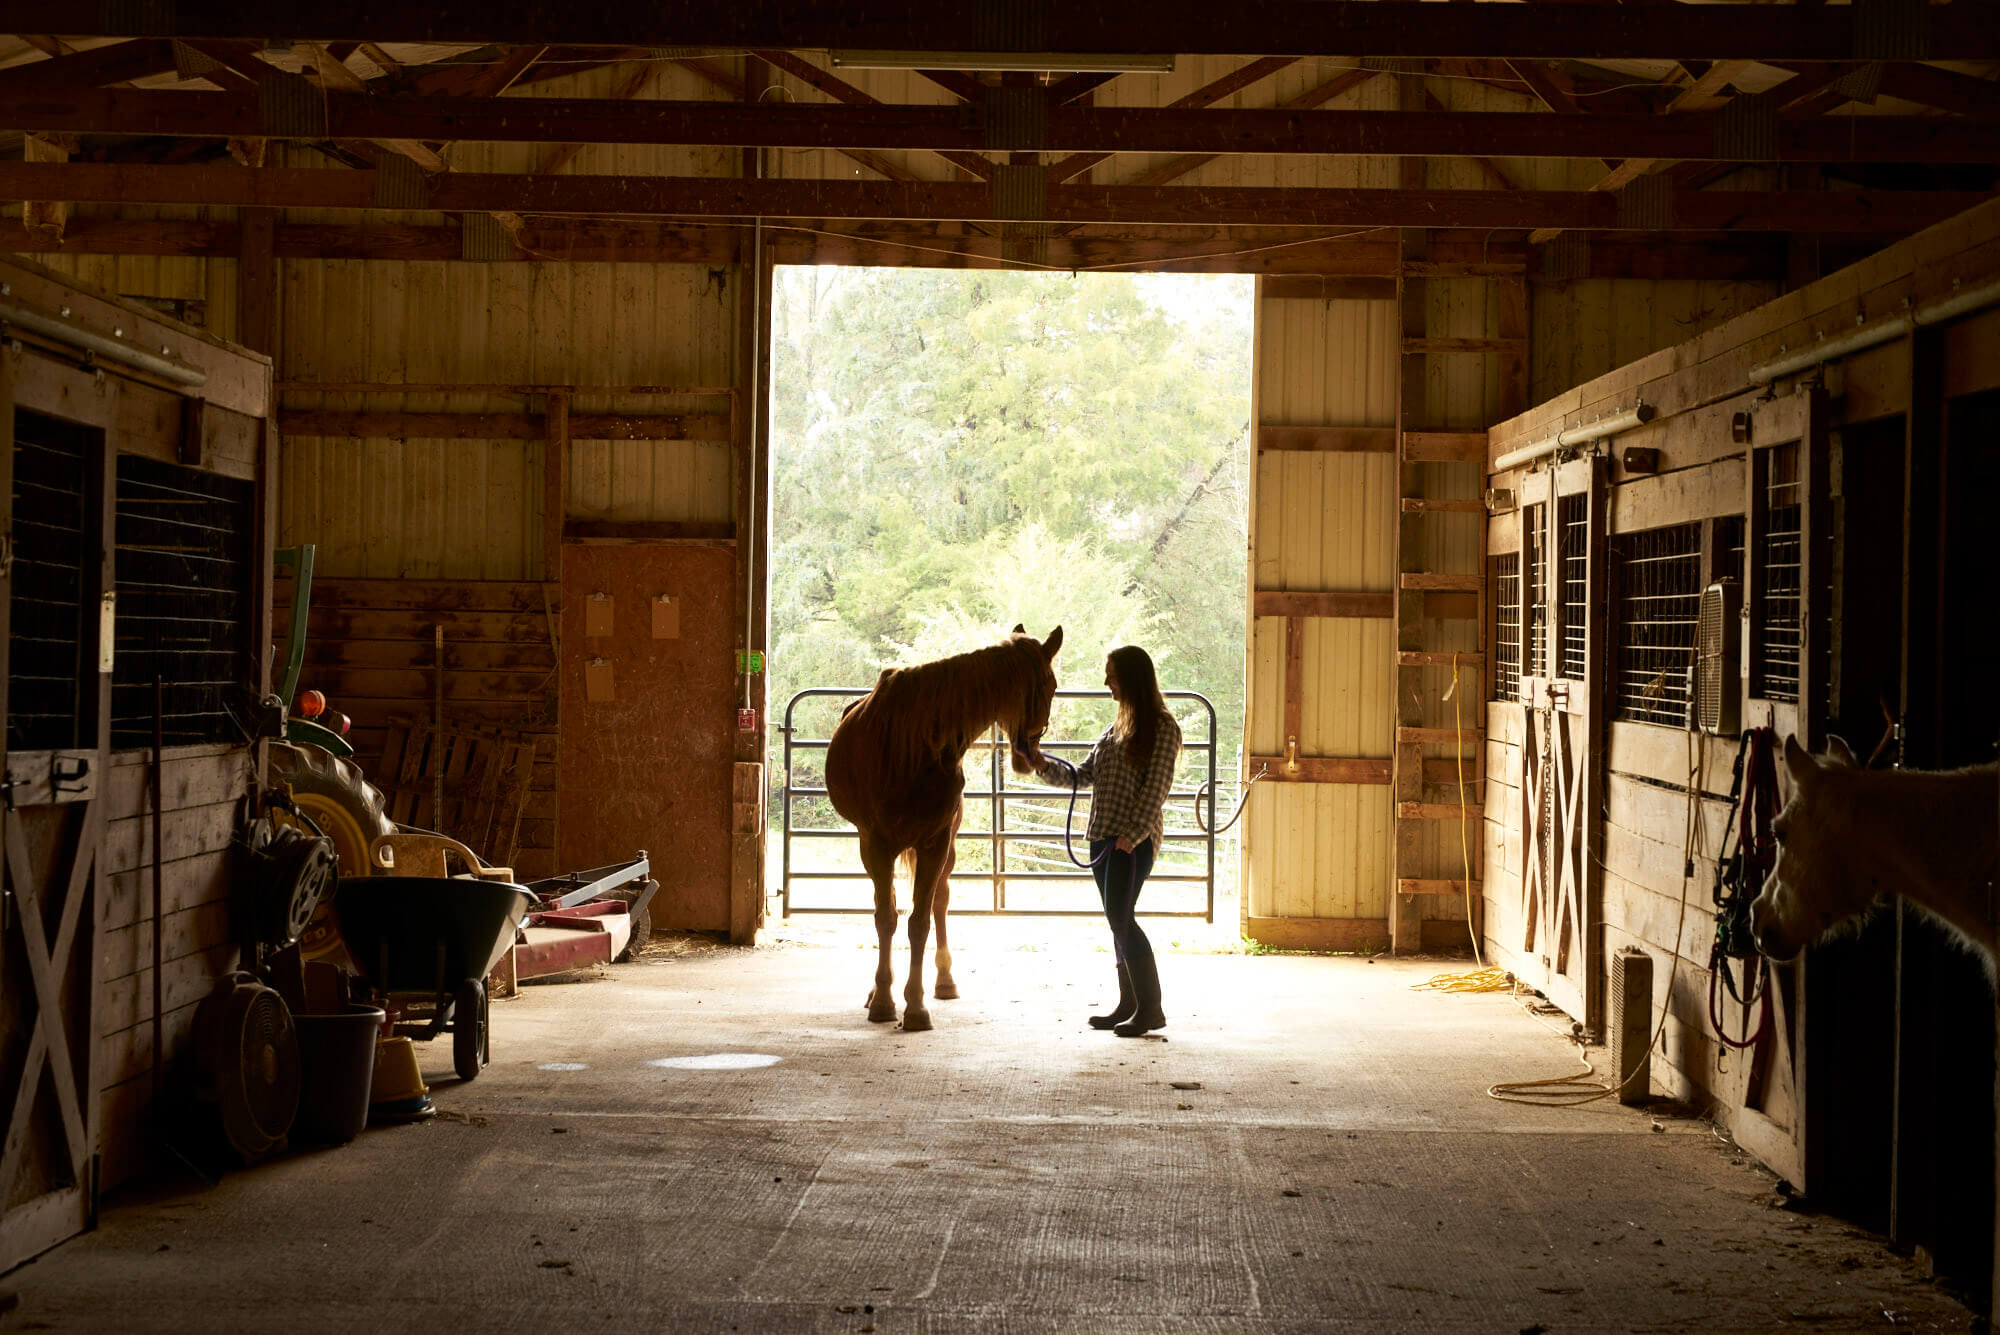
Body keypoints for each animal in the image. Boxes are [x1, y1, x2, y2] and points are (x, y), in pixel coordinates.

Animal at [824, 627, 1064, 1031]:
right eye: (1051, 684)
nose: (1032, 756)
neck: (914, 745)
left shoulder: (934, 843)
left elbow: (920, 921)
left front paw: (916, 1007)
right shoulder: (876, 844)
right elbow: (886, 918)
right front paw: (883, 1000)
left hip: (946, 849)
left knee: (940, 902)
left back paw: (944, 981)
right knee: (888, 906)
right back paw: (876, 990)